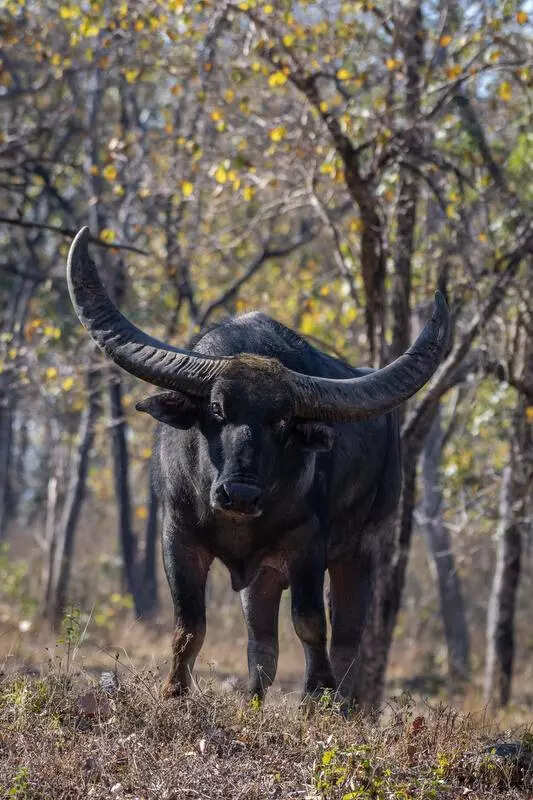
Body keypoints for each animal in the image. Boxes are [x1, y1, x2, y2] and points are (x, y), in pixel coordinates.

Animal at [67, 227, 449, 707]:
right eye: (216, 408)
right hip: (264, 577)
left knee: (348, 637)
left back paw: (344, 705)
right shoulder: (177, 535)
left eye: (283, 422)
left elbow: (310, 624)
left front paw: (316, 697)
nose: (240, 494)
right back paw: (253, 698)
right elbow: (189, 626)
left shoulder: (309, 546)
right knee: (262, 641)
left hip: (362, 549)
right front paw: (174, 692)